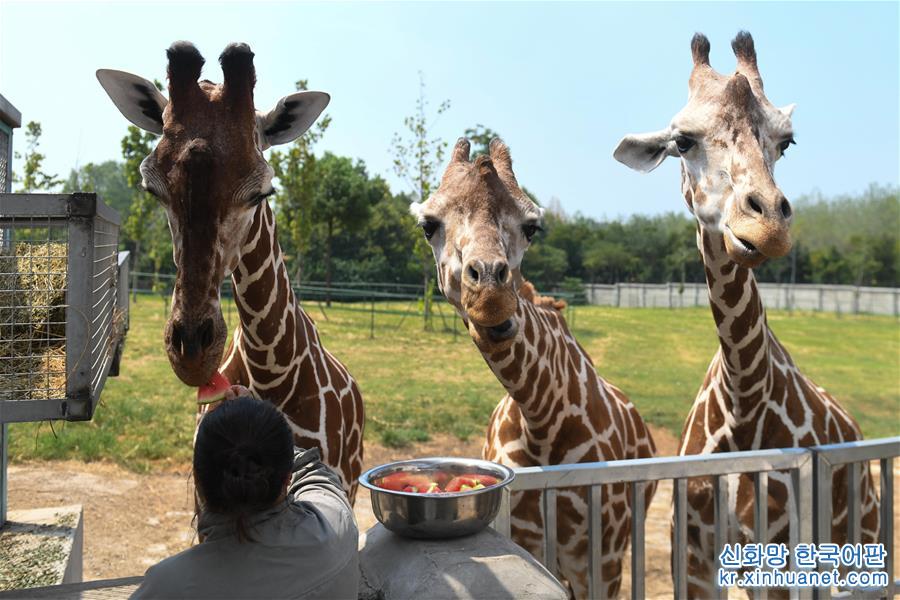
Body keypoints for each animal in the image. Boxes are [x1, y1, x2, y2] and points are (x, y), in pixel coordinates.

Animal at [412, 138, 656, 596]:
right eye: (428, 225)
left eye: (531, 227)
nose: (491, 297)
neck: (541, 417)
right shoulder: (529, 541)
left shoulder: (602, 559)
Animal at [612, 31, 880, 596]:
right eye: (682, 141)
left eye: (787, 141)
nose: (768, 226)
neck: (743, 400)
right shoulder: (691, 554)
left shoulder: (778, 555)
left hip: (854, 543)